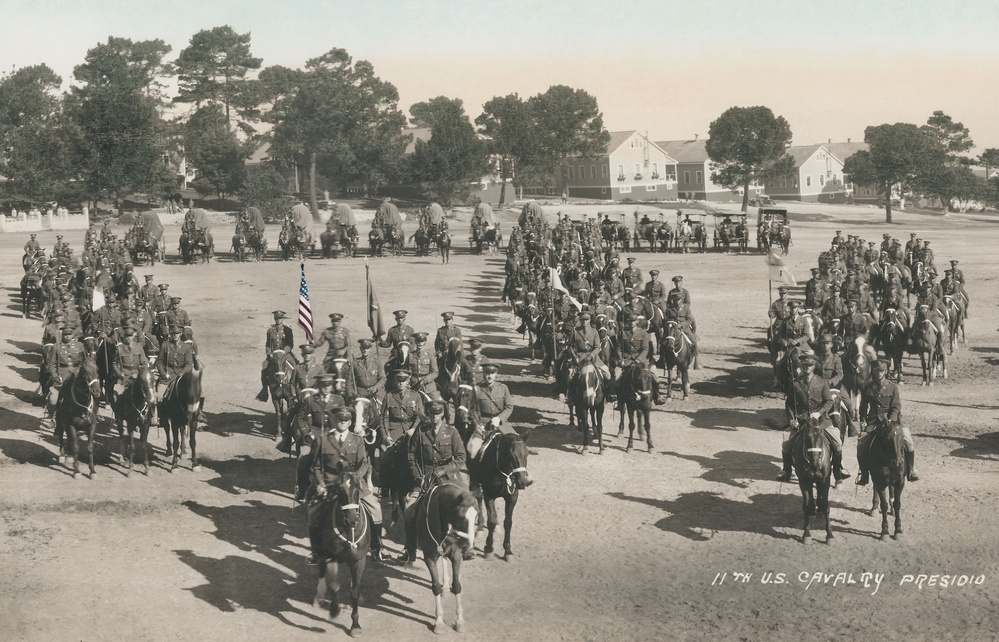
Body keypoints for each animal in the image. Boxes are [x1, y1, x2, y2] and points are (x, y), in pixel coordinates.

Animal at [312, 468, 372, 632]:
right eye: (339, 489)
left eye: (357, 486)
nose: (351, 519)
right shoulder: (330, 556)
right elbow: (334, 585)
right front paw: (334, 609)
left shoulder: (359, 560)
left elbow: (354, 590)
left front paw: (355, 625)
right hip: (320, 551)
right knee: (321, 570)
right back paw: (319, 597)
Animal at [412, 480, 478, 632]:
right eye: (461, 516)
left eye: (476, 516)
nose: (469, 547)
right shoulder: (429, 557)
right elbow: (435, 586)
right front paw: (439, 622)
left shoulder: (456, 554)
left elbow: (457, 585)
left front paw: (459, 621)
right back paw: (446, 588)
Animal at [466, 430, 532, 560]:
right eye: (511, 455)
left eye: (526, 454)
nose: (522, 482)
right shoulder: (489, 495)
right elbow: (490, 521)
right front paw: (489, 548)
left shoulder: (512, 497)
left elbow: (508, 522)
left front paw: (508, 550)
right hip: (475, 482)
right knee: (479, 498)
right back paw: (480, 527)